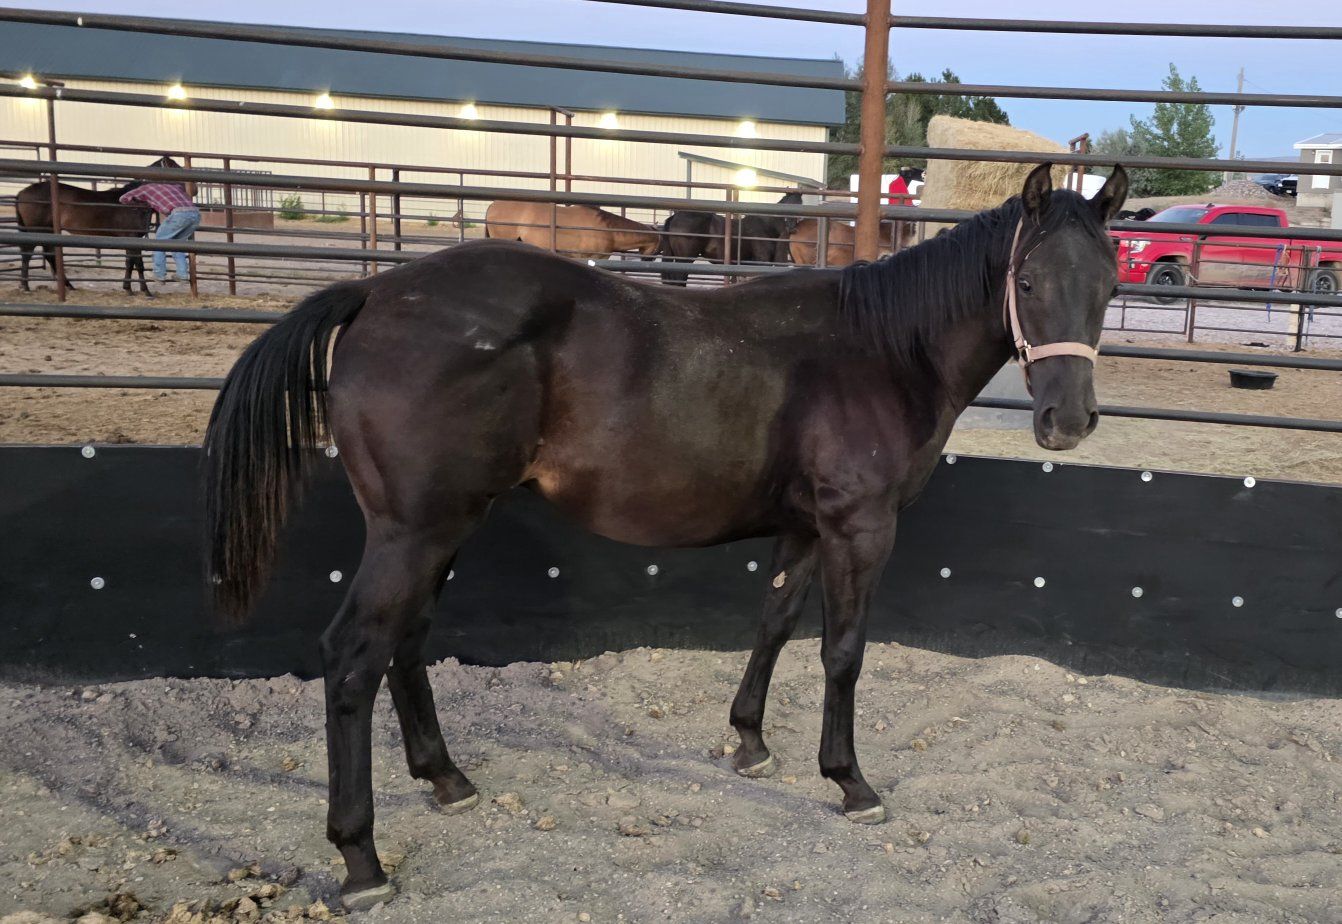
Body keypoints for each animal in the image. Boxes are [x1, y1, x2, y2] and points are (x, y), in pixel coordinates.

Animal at [14, 156, 179, 295]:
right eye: (175, 167)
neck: (134, 201)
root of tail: (22, 192)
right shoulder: (133, 237)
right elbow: (136, 263)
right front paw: (144, 291)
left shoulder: (133, 239)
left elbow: (131, 263)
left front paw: (130, 288)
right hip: (37, 230)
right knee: (28, 255)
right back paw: (25, 286)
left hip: (47, 231)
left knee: (48, 255)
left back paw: (68, 286)